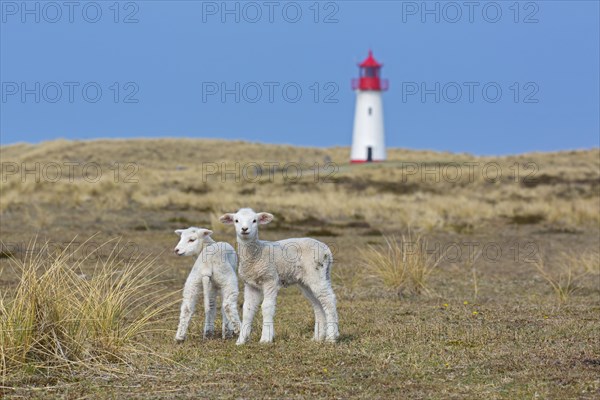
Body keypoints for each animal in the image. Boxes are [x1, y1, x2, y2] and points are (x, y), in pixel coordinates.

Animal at [219, 209, 340, 344]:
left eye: (254, 220)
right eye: (236, 220)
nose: (244, 229)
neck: (256, 254)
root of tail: (327, 250)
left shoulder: (270, 279)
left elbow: (267, 307)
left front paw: (265, 339)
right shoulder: (250, 284)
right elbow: (247, 310)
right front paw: (241, 341)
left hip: (316, 273)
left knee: (329, 300)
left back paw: (331, 337)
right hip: (308, 280)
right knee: (318, 305)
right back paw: (318, 338)